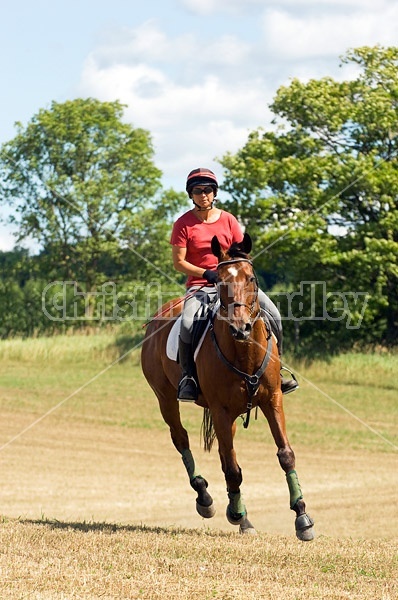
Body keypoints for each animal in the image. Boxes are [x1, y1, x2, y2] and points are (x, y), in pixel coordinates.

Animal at [141, 231, 314, 540]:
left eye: (251, 278)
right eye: (219, 280)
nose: (240, 327)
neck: (243, 351)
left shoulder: (273, 400)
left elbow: (285, 455)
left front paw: (302, 517)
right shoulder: (220, 410)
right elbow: (233, 469)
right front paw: (235, 514)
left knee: (225, 455)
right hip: (166, 399)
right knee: (182, 439)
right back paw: (206, 499)